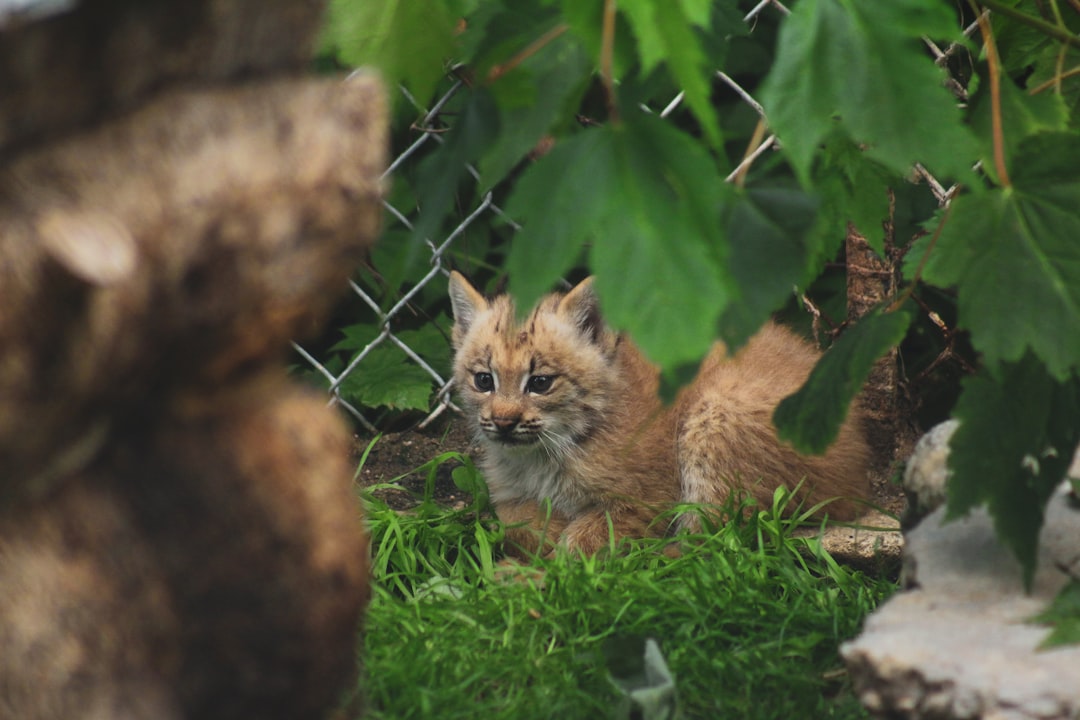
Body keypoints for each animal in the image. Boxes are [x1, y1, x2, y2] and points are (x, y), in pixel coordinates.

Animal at [447, 272, 868, 557]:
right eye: (484, 380)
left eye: (540, 383)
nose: (503, 422)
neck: (546, 451)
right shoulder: (508, 494)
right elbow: (514, 522)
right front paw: (544, 538)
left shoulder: (645, 500)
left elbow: (582, 543)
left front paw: (546, 570)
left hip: (715, 411)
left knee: (710, 545)